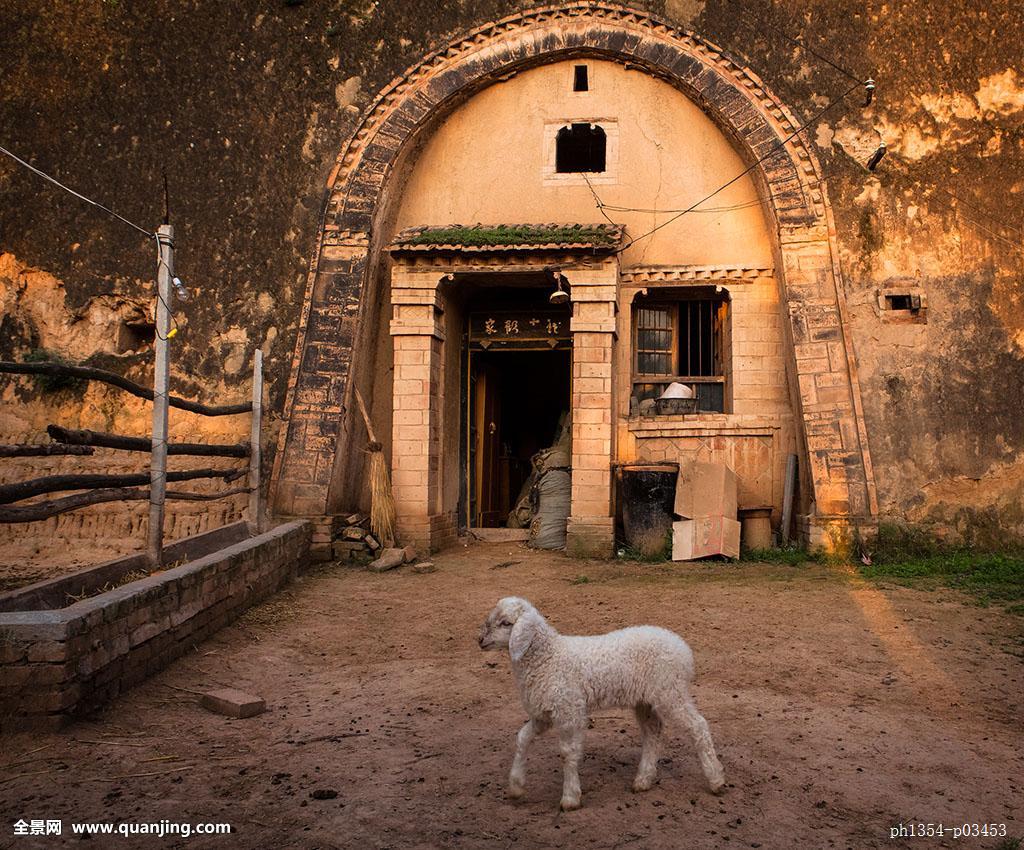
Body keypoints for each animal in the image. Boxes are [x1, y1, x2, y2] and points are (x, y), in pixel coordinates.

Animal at [477, 598, 724, 811]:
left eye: (506, 623)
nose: (480, 640)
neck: (548, 657)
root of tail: (682, 647)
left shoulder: (569, 711)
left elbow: (568, 753)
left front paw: (570, 797)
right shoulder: (544, 714)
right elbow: (522, 738)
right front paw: (516, 786)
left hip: (670, 691)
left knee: (698, 726)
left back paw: (716, 779)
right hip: (646, 700)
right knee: (653, 733)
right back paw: (643, 780)